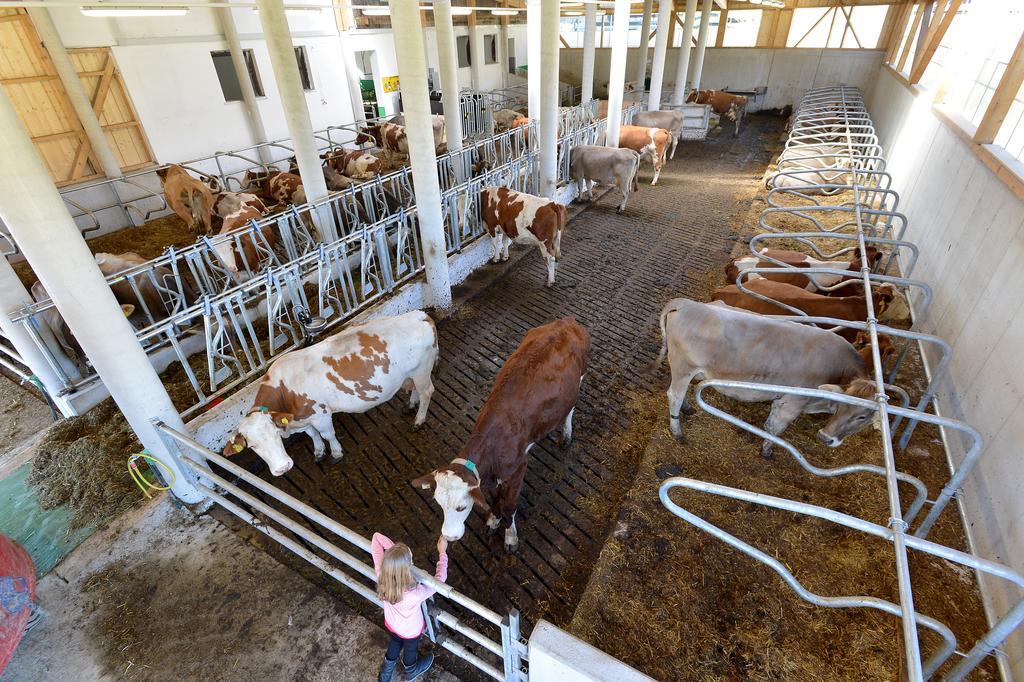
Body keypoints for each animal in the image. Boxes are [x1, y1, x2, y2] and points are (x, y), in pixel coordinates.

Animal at [222, 311, 438, 475]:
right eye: (252, 446)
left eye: (275, 433)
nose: (283, 468)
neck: (284, 390)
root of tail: (419, 315)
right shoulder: (304, 417)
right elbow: (311, 434)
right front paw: (318, 452)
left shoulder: (320, 414)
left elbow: (327, 434)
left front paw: (335, 453)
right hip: (412, 374)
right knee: (415, 389)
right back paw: (410, 405)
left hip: (422, 370)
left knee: (427, 392)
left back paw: (418, 420)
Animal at [409, 315, 589, 548]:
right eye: (439, 504)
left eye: (461, 507)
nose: (448, 537)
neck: (492, 442)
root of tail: (565, 321)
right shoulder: (488, 479)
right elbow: (495, 501)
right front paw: (493, 521)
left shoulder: (517, 470)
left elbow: (509, 506)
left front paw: (510, 537)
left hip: (580, 377)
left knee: (570, 410)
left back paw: (566, 435)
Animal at [659, 299, 884, 454]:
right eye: (842, 407)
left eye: (862, 416)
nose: (825, 437)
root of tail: (686, 303)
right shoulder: (793, 402)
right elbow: (777, 429)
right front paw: (767, 451)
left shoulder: (781, 399)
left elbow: (769, 425)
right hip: (683, 366)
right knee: (674, 396)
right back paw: (677, 432)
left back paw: (687, 408)